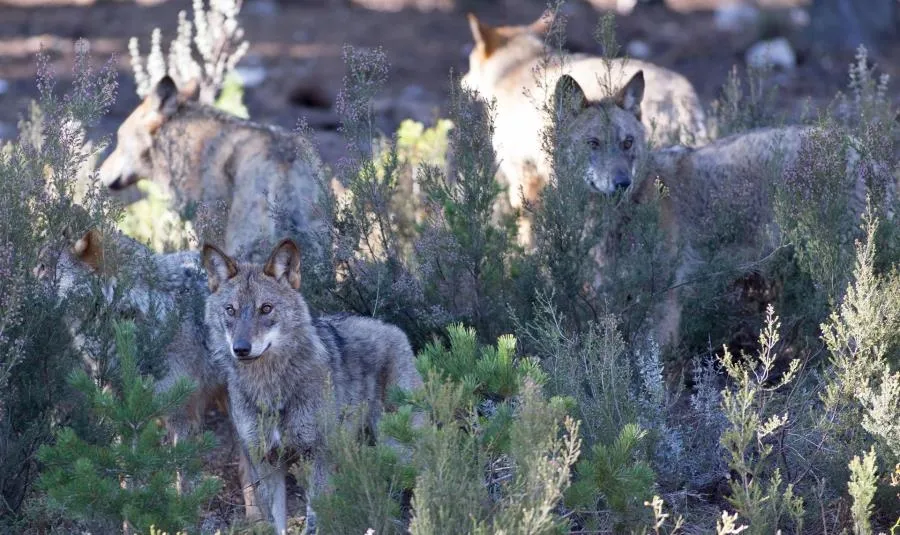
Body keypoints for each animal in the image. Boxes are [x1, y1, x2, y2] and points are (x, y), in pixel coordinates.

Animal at [36, 226, 262, 520]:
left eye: (42, 267)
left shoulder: (179, 411)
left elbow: (181, 478)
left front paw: (181, 519)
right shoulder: (123, 409)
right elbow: (127, 472)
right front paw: (127, 519)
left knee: (251, 466)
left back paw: (258, 520)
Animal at [202, 238, 423, 534]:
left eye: (266, 308)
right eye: (230, 310)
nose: (241, 349)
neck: (271, 389)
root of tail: (393, 328)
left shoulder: (315, 457)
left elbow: (315, 521)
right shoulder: (266, 464)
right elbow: (276, 523)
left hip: (399, 448)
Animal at [461, 11, 708, 245]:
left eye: (470, 62)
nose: (462, 81)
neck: (517, 67)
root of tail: (679, 95)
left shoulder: (526, 180)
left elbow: (526, 229)